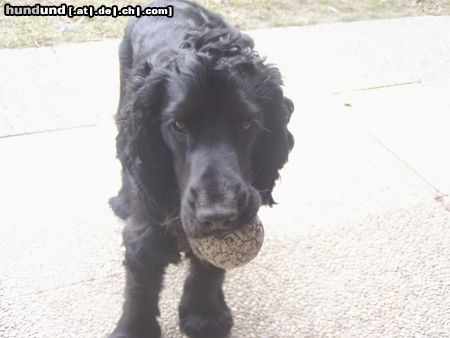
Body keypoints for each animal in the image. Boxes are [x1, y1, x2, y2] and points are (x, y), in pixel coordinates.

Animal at [110, 1, 296, 336]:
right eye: (179, 125)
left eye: (247, 124)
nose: (219, 215)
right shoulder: (146, 227)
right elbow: (140, 282)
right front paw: (134, 329)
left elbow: (209, 268)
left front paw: (204, 315)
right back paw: (121, 201)